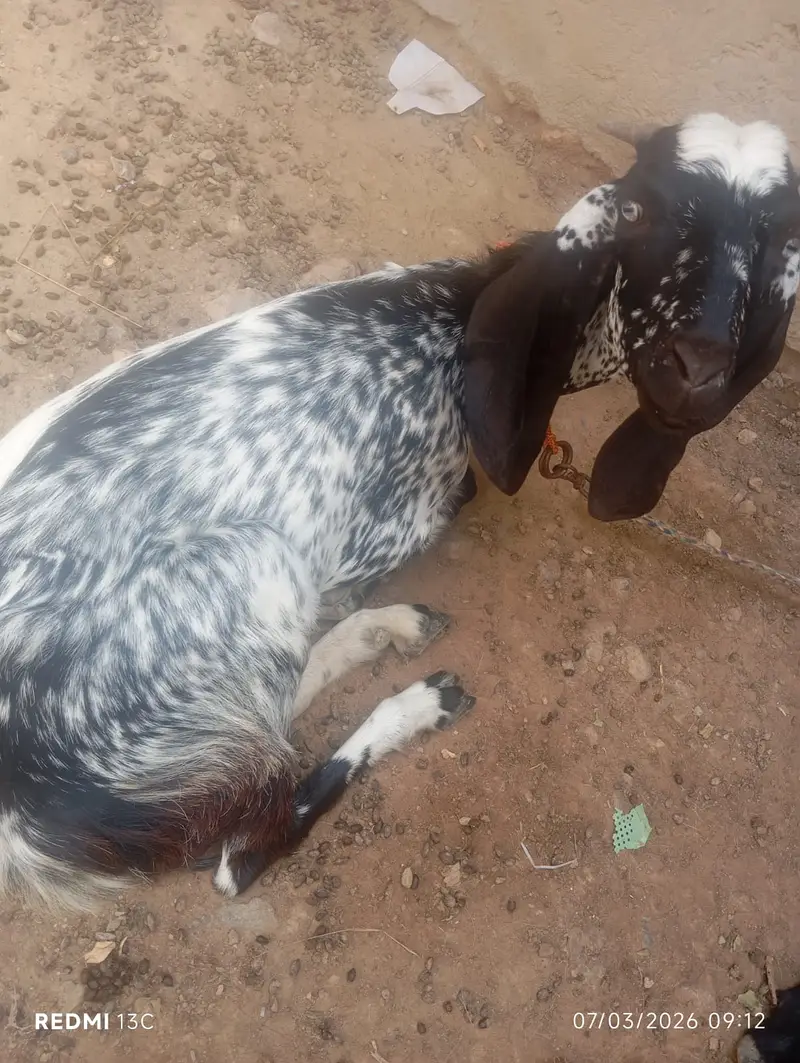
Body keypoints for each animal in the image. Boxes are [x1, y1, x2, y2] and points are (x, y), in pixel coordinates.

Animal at [0, 113, 797, 910]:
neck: (448, 323)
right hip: (256, 563)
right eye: (640, 210)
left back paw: (385, 633)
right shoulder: (384, 530)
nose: (696, 369)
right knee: (243, 843)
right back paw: (413, 700)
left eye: (775, 245)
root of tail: (24, 811)